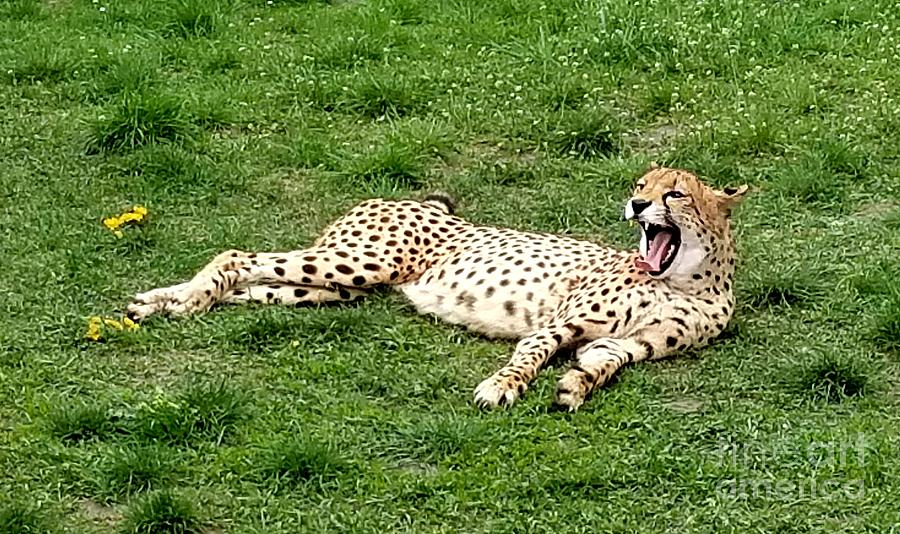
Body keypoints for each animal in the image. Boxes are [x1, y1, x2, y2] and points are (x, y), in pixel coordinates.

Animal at [125, 168, 744, 410]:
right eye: (643, 185)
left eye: (675, 193)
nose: (636, 204)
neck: (683, 280)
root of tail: (406, 198)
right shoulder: (558, 322)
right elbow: (530, 354)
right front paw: (501, 387)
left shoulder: (625, 344)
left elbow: (600, 364)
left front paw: (574, 386)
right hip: (358, 262)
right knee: (237, 256)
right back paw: (176, 299)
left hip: (339, 288)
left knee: (249, 284)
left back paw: (170, 302)